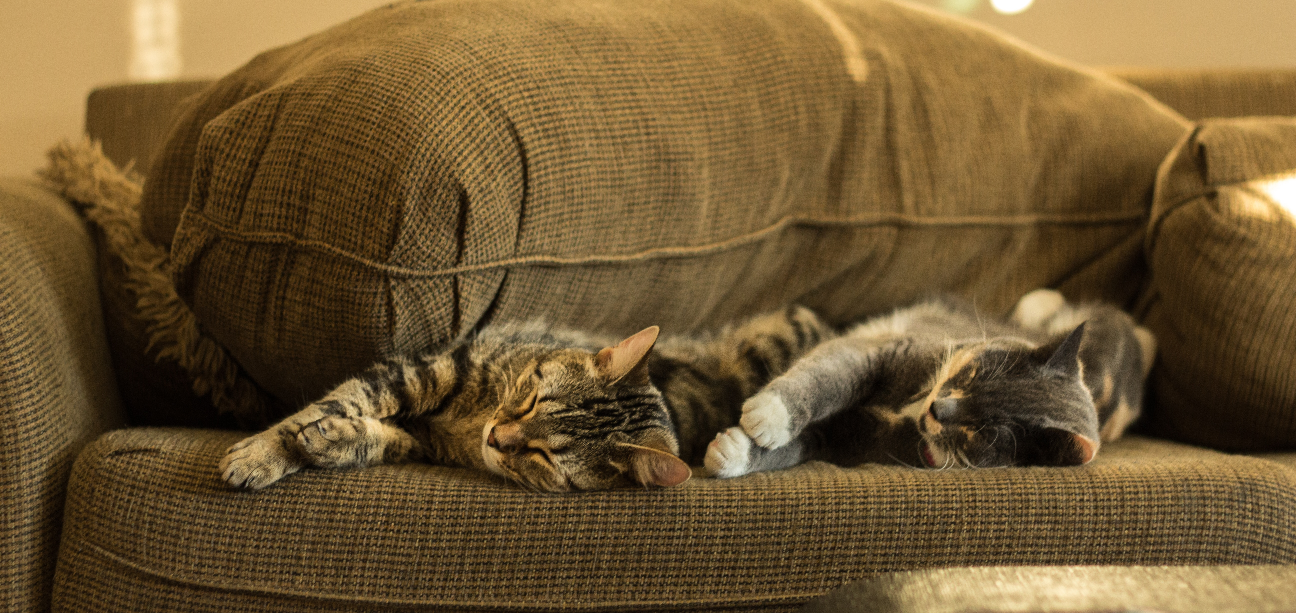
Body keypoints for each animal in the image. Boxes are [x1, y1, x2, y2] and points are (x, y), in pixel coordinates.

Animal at [220, 305, 829, 492]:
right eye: (534, 398)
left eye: (542, 456)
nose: (498, 436)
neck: (469, 423)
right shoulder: (423, 371)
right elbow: (334, 401)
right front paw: (265, 451)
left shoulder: (420, 439)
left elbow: (373, 438)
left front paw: (325, 443)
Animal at [705, 289, 1161, 474]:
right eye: (976, 373)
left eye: (985, 434)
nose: (940, 408)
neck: (910, 407)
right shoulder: (878, 350)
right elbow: (823, 378)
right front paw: (767, 416)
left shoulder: (849, 439)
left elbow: (798, 448)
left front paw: (735, 451)